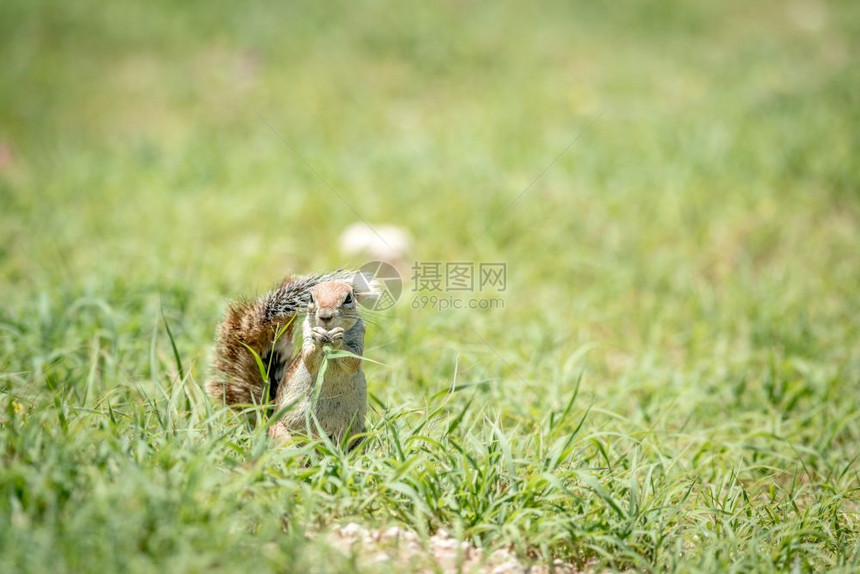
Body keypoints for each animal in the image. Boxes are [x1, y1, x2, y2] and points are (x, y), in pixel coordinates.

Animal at [208, 272, 372, 452]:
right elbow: (309, 359)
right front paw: (318, 337)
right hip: (280, 431)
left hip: (360, 434)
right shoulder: (307, 332)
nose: (325, 316)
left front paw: (338, 338)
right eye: (311, 298)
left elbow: (352, 361)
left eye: (348, 298)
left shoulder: (359, 334)